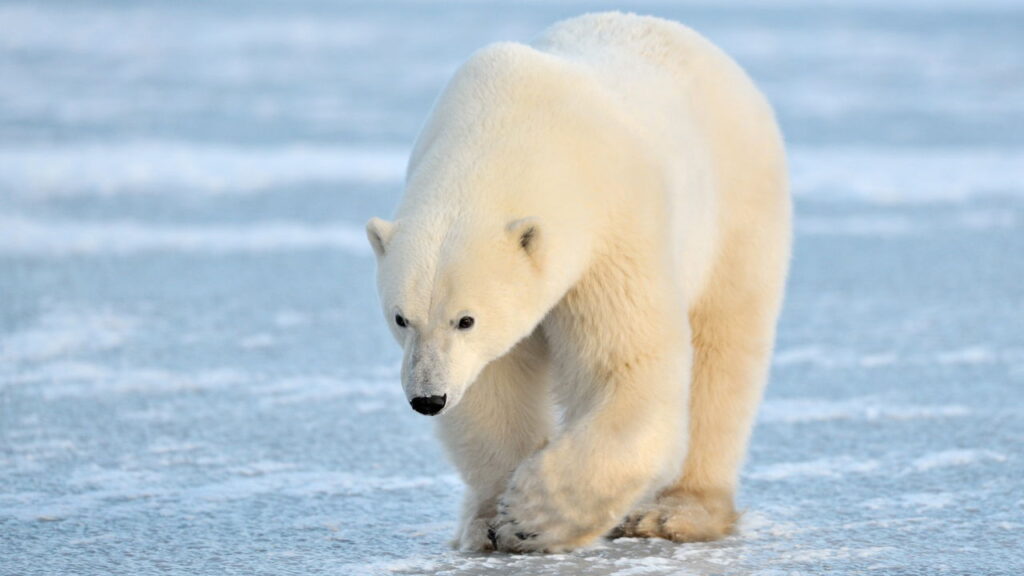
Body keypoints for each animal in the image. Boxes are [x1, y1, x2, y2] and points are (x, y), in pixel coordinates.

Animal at [366, 12, 791, 553]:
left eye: (466, 319)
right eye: (401, 318)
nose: (427, 398)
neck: (511, 126)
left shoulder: (612, 230)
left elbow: (627, 368)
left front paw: (531, 515)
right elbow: (491, 387)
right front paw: (491, 520)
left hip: (736, 212)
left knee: (724, 353)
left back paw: (677, 512)